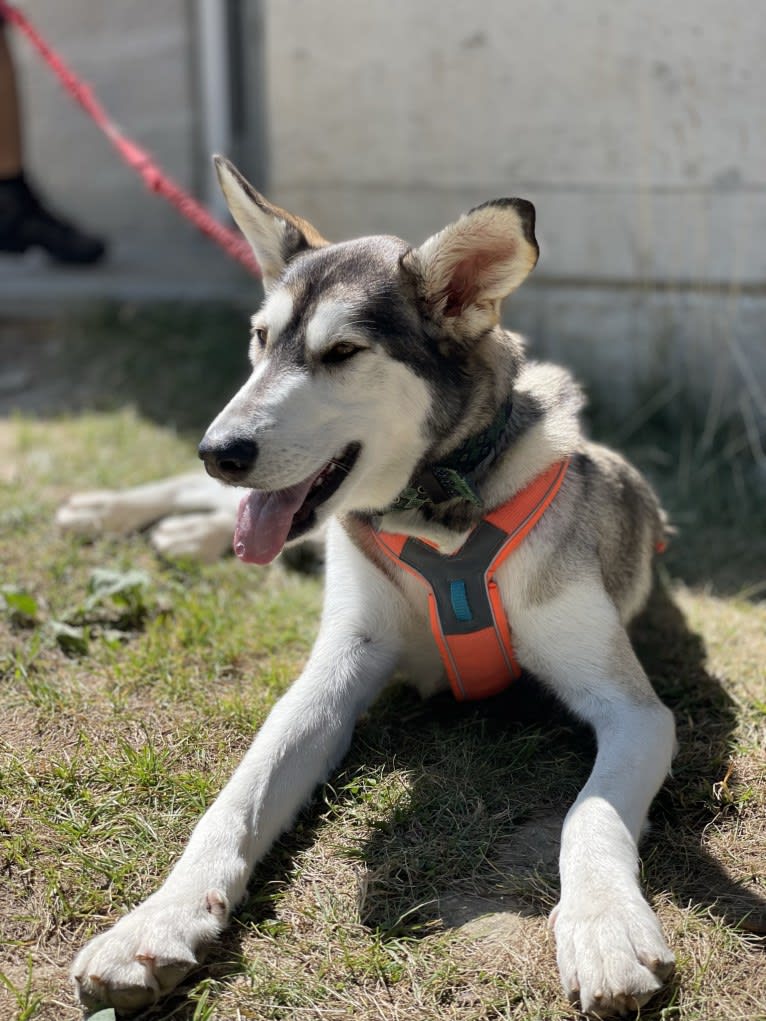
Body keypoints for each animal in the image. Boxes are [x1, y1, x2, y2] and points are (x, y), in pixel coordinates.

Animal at [72, 157, 678, 1012]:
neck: (435, 510)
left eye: (343, 352)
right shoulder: (333, 671)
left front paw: (604, 926)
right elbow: (235, 797)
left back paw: (180, 532)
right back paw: (109, 510)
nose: (218, 449)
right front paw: (155, 920)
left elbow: (589, 815)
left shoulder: (633, 709)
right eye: (260, 340)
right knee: (206, 502)